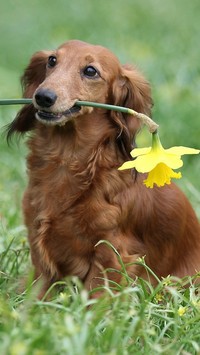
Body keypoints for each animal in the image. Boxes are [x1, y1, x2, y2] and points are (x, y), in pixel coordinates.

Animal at [7, 40, 199, 298]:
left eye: (90, 71)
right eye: (52, 60)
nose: (43, 96)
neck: (67, 160)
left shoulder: (111, 253)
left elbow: (96, 296)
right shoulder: (39, 252)